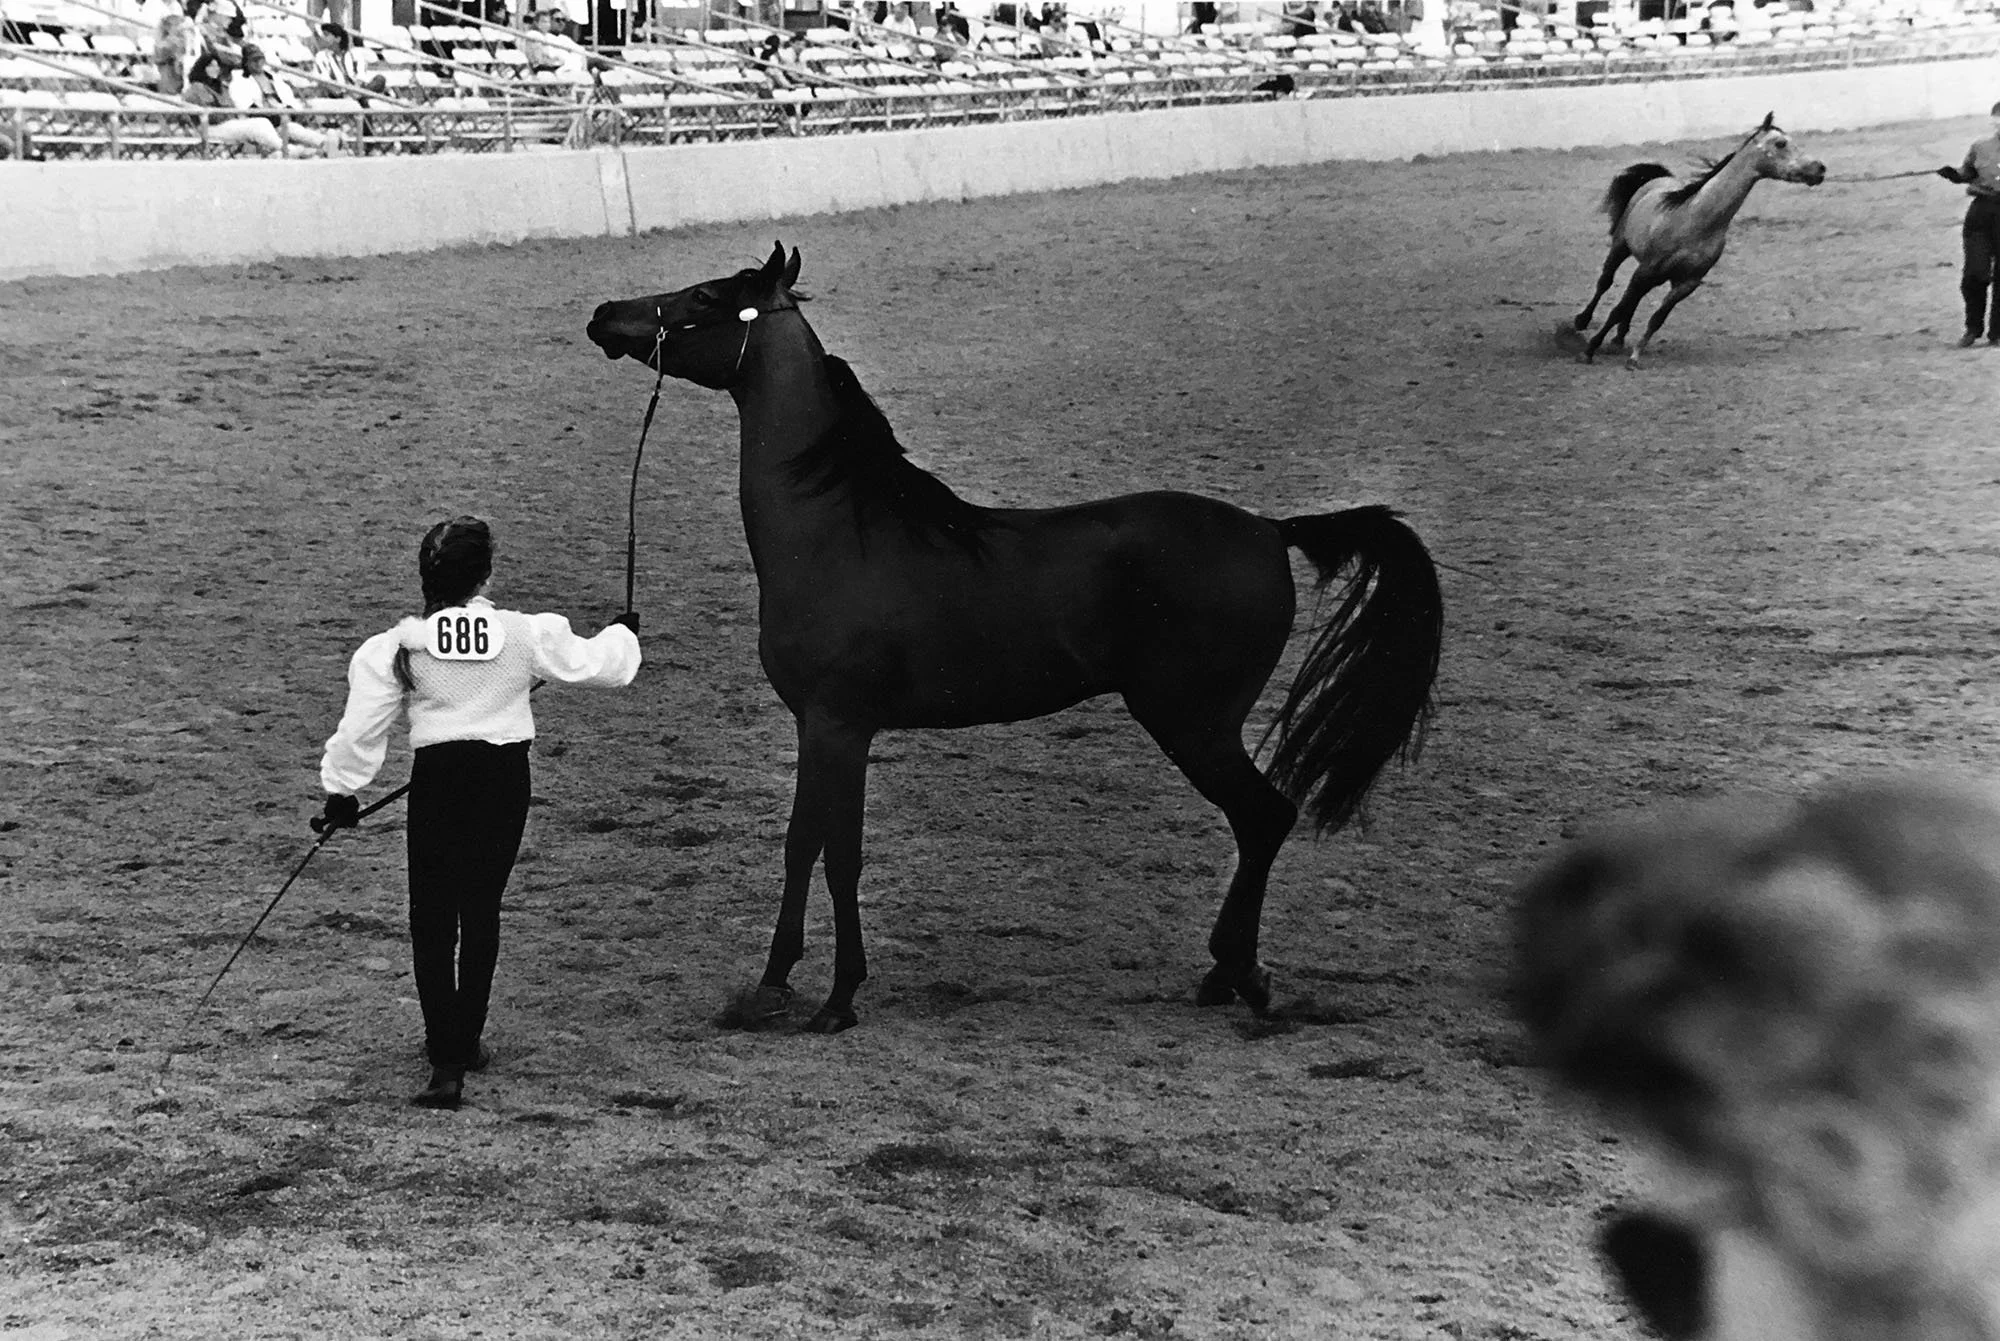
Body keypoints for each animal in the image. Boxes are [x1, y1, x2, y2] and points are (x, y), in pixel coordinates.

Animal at [585, 243, 1443, 1034]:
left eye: (705, 296)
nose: (604, 315)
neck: (840, 530)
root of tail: (1271, 529)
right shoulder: (815, 726)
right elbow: (805, 844)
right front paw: (773, 986)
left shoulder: (841, 725)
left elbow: (838, 854)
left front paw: (836, 997)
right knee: (1256, 822)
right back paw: (1224, 975)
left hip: (1193, 724)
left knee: (1265, 817)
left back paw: (1244, 978)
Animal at [1569, 112, 1825, 370]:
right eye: (1781, 143)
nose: (1819, 168)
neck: (1695, 220)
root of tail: (1657, 179)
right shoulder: (1646, 271)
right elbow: (1618, 309)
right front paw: (1589, 351)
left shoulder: (1686, 283)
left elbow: (1656, 319)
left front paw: (1634, 357)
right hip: (1621, 248)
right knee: (1606, 283)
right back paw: (1582, 321)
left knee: (1633, 301)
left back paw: (1619, 339)